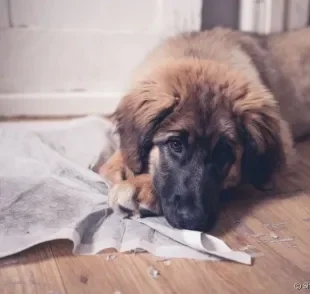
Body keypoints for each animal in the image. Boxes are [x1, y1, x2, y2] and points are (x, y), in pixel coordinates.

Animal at [100, 26, 310, 231]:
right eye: (175, 144)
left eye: (224, 153)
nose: (191, 220)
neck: (197, 54)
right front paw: (121, 166)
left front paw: (142, 186)